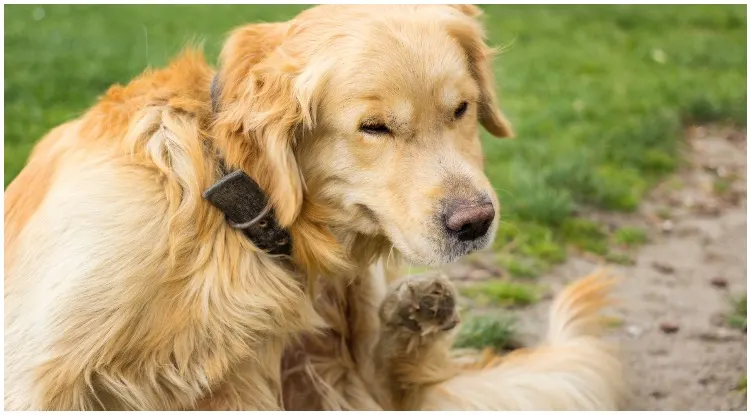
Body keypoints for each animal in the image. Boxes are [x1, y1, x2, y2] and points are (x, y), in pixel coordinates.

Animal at [4, 4, 628, 412]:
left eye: (462, 109)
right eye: (373, 127)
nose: (476, 223)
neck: (227, 200)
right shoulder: (37, 369)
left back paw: (416, 310)